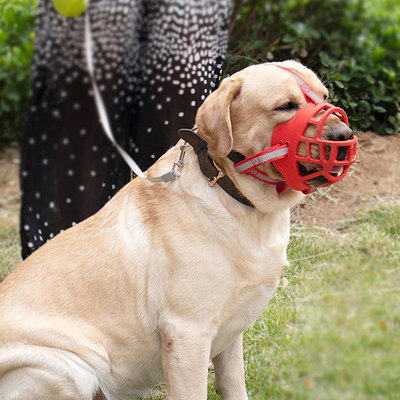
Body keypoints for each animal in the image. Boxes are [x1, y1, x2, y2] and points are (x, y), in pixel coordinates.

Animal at [0, 60, 356, 400]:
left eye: (324, 96)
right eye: (285, 106)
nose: (343, 135)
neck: (232, 194)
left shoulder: (232, 330)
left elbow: (234, 384)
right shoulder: (187, 333)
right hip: (68, 368)